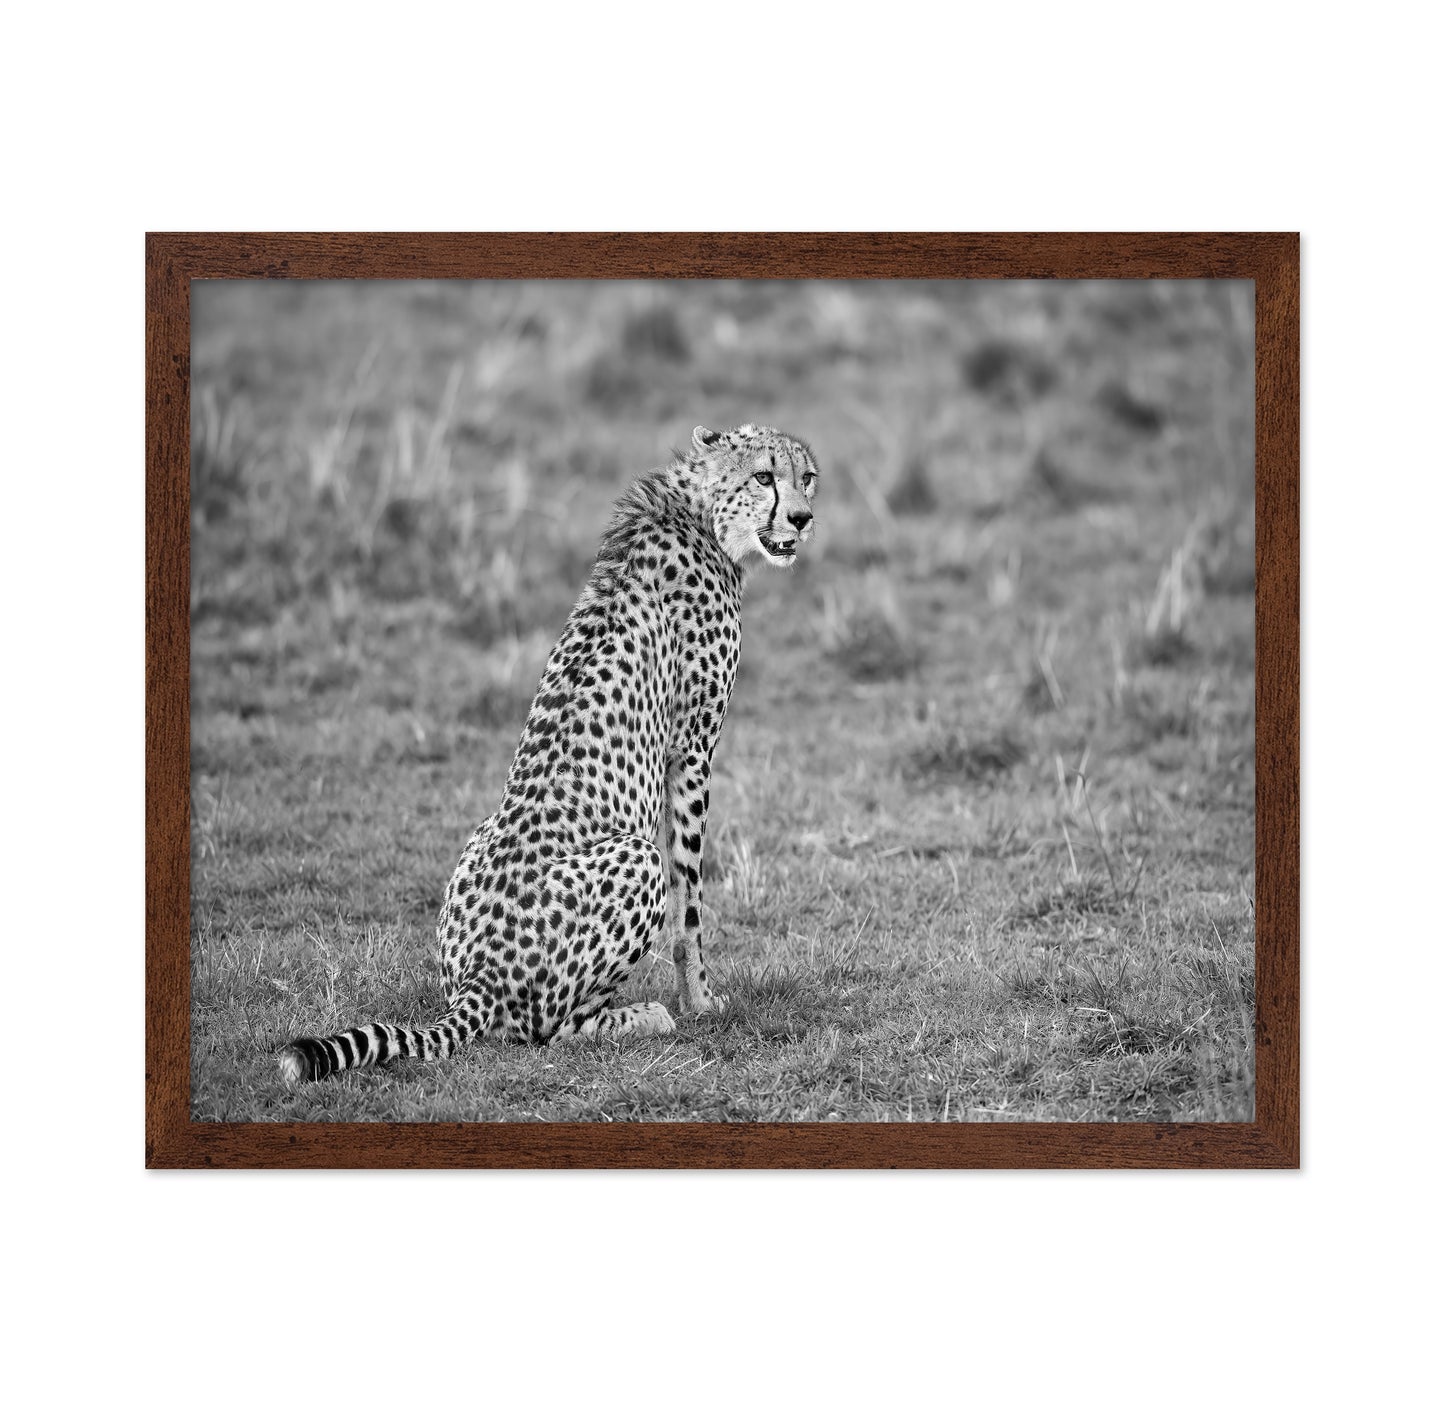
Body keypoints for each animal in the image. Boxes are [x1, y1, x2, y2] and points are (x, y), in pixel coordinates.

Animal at [279, 423, 819, 1084]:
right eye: (764, 476)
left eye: (806, 477)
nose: (802, 517)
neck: (699, 512)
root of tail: (479, 976)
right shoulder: (692, 750)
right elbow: (691, 901)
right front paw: (701, 1000)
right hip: (635, 859)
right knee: (550, 1028)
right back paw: (645, 1016)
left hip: (478, 843)